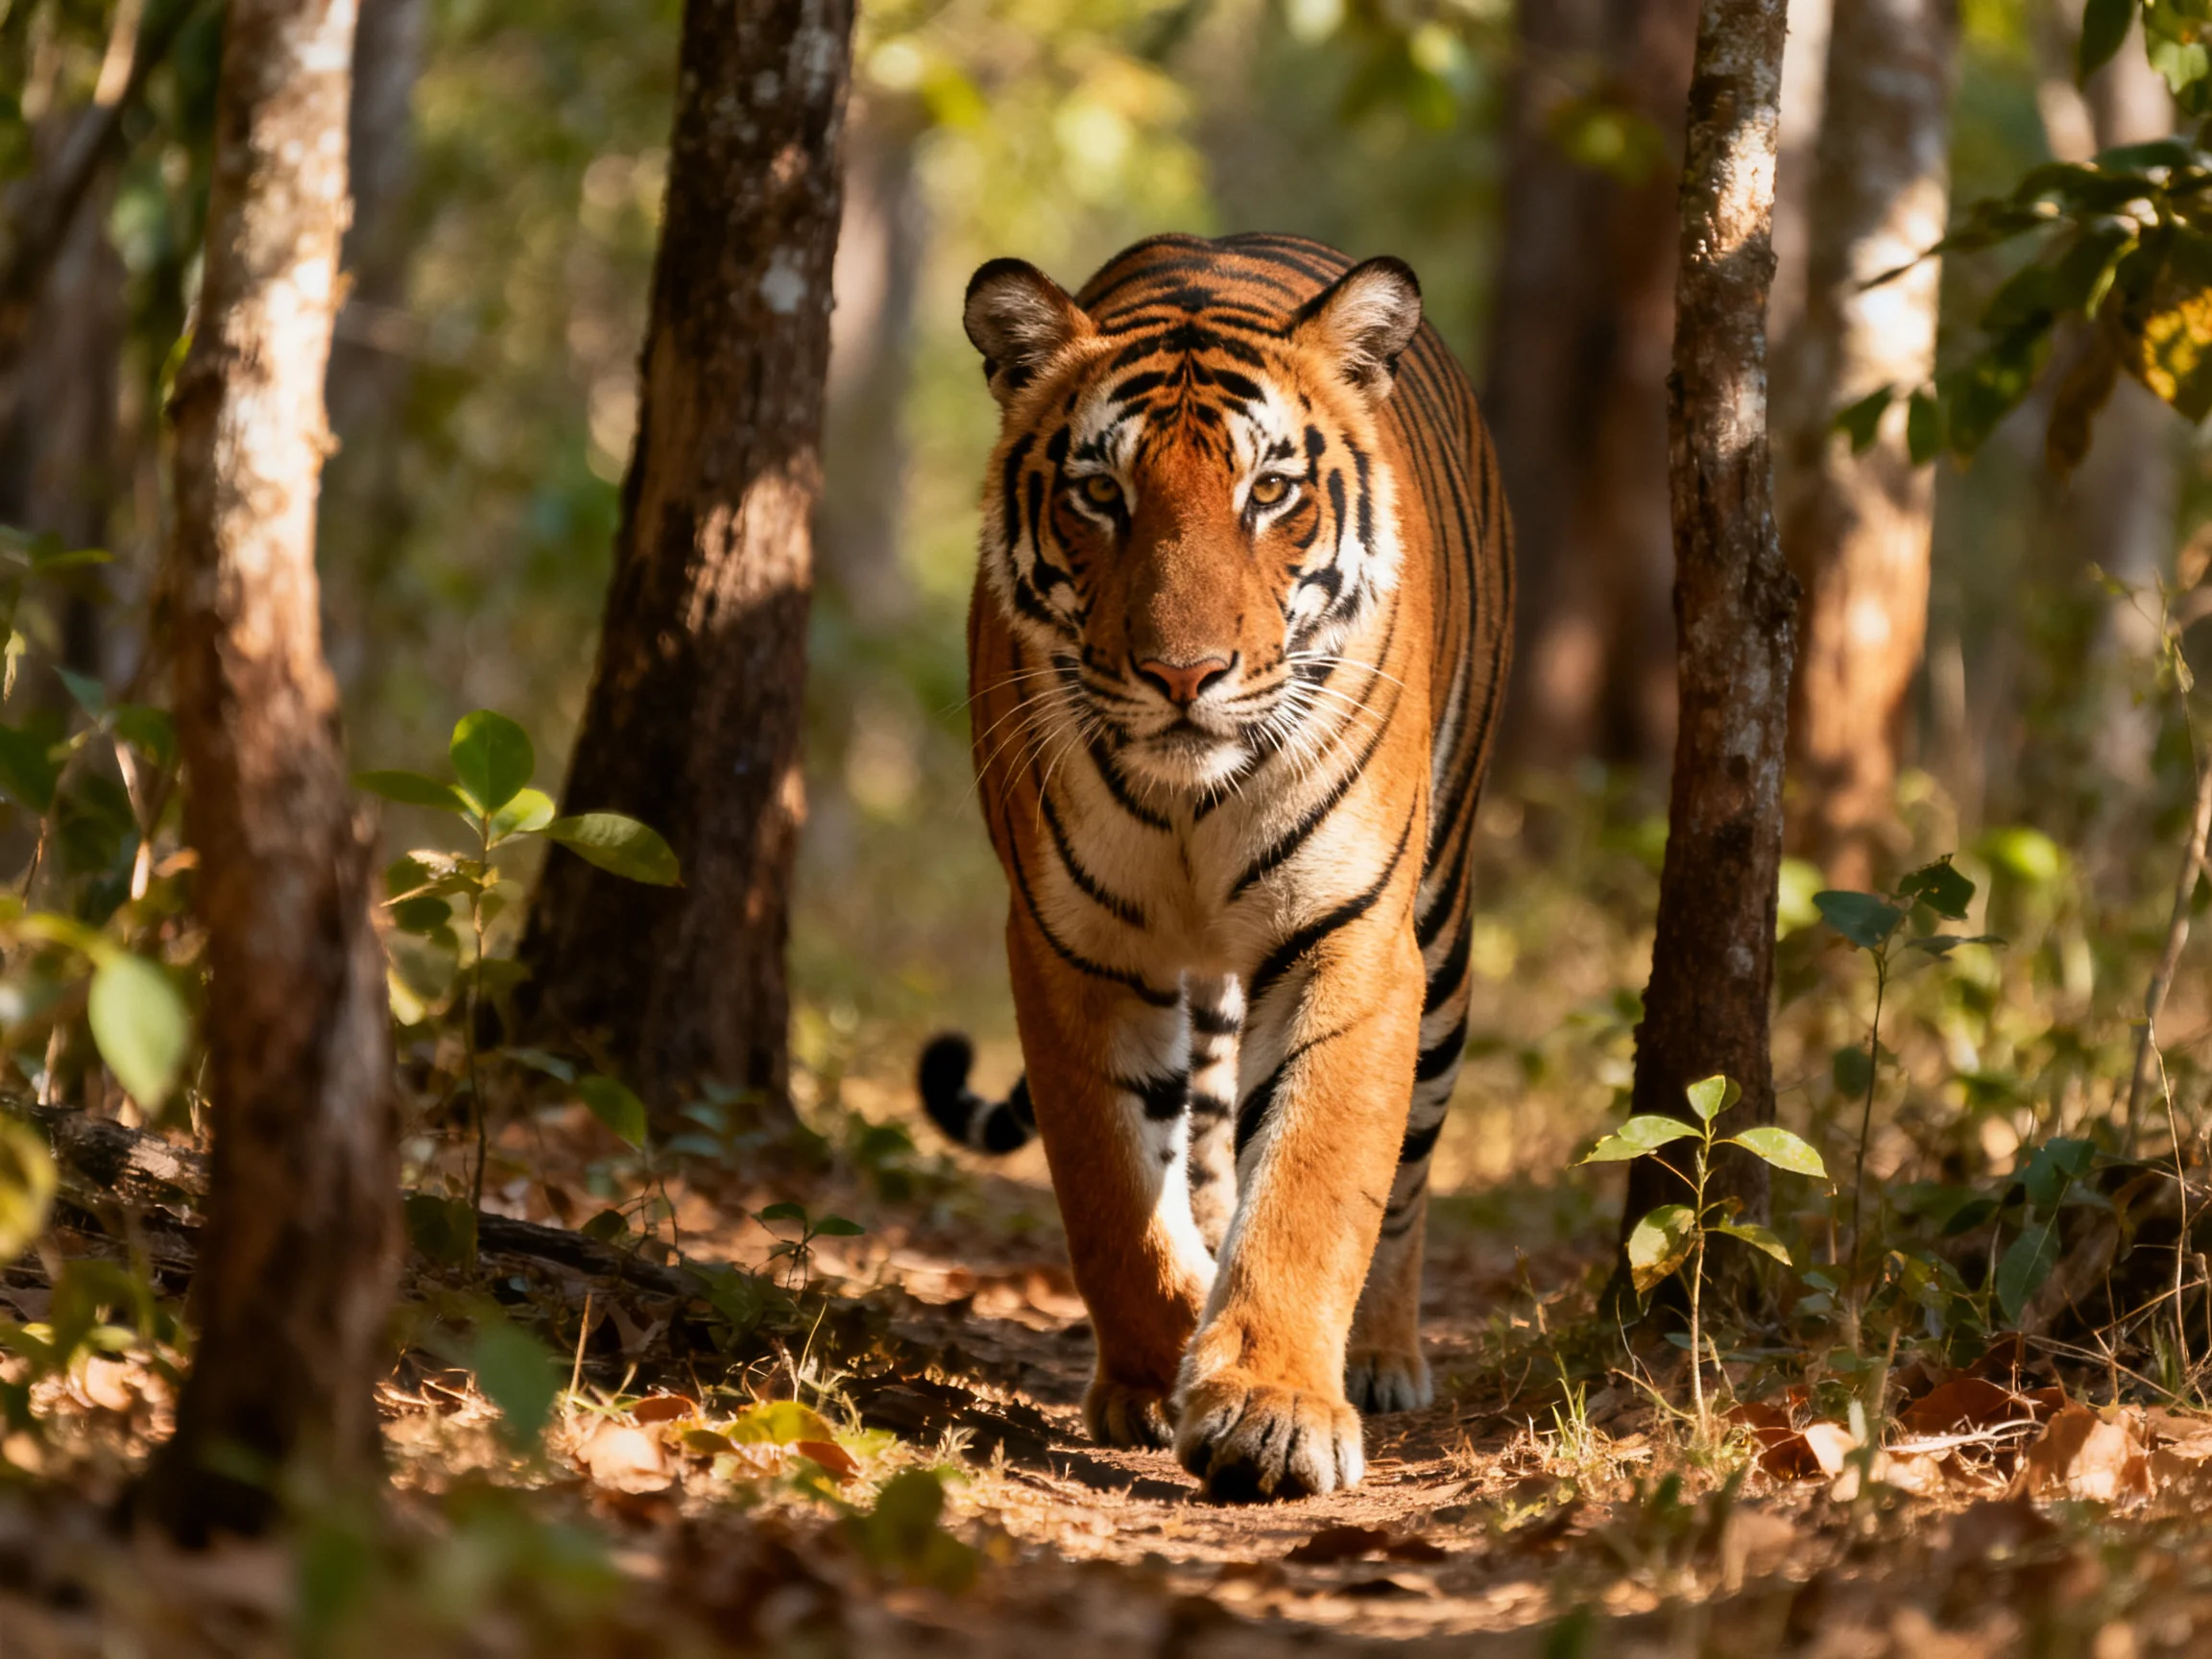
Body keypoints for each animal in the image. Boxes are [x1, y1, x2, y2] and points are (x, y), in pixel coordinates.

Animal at [918, 232, 1512, 1501]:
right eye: (1102, 494)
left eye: (1270, 491)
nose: (1184, 675)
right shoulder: (1072, 948)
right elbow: (1112, 1195)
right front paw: (1160, 1369)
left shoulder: (1354, 936)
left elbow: (1317, 1182)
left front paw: (1274, 1411)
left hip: (1441, 935)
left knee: (1408, 1169)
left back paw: (1381, 1356)